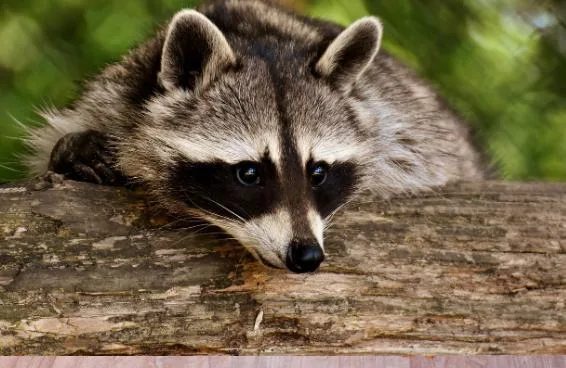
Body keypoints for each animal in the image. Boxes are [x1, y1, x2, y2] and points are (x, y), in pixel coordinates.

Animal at [25, 0, 488, 274]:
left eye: (318, 172)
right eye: (249, 173)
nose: (306, 256)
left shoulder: (400, 124)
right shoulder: (111, 95)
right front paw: (75, 151)